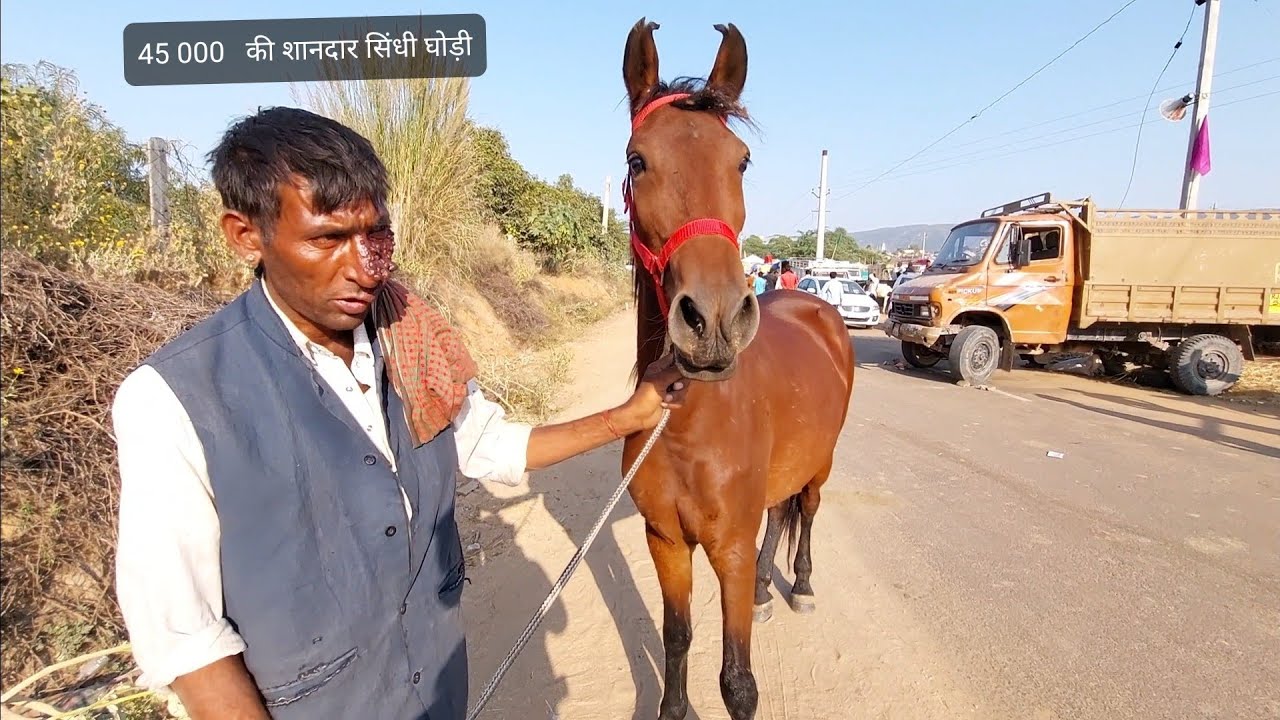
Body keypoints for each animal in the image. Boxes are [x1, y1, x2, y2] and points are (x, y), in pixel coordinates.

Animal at [617, 18, 857, 720]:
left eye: (741, 160)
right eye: (637, 160)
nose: (716, 319)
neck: (690, 426)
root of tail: (817, 306)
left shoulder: (725, 549)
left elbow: (738, 682)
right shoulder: (666, 542)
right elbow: (675, 638)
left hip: (822, 461)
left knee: (807, 508)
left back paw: (798, 584)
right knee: (779, 513)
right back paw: (764, 590)